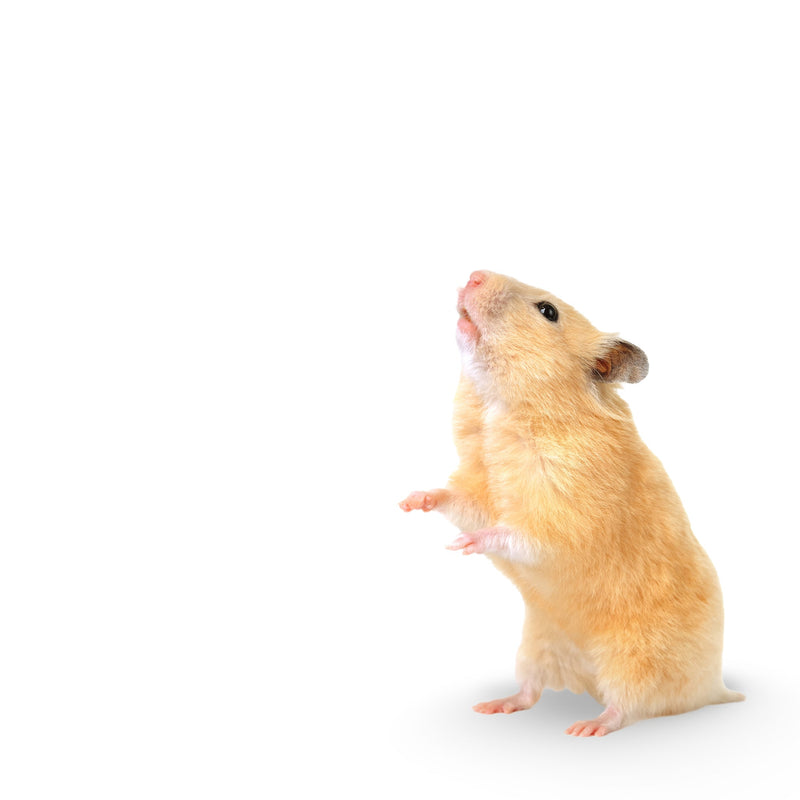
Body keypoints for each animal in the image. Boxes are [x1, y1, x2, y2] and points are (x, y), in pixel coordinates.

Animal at [399, 270, 743, 737]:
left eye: (548, 311)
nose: (474, 275)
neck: (500, 406)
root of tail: (714, 686)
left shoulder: (565, 515)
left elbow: (517, 534)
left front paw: (465, 545)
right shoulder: (478, 489)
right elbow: (455, 500)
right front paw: (410, 500)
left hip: (634, 658)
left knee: (629, 706)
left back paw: (588, 727)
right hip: (538, 642)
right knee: (531, 690)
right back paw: (494, 706)